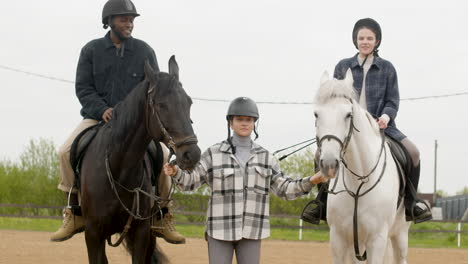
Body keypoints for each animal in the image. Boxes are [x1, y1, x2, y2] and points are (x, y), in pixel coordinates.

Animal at [79, 55, 200, 262]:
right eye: (161, 104)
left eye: (189, 102)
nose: (192, 154)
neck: (119, 171)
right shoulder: (93, 234)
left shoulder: (142, 233)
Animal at [314, 70, 410, 264]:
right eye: (316, 115)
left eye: (348, 115)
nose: (329, 164)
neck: (357, 182)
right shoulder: (339, 239)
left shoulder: (377, 239)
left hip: (400, 234)